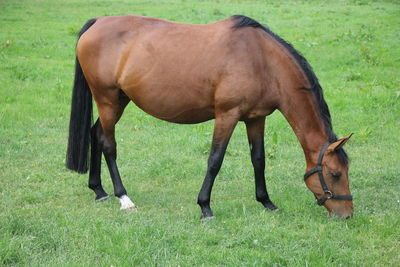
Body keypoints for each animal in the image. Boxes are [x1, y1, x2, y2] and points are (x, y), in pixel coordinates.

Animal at [65, 14, 354, 220]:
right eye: (335, 174)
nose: (347, 214)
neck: (261, 60)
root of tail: (98, 22)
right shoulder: (227, 115)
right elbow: (215, 160)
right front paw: (205, 207)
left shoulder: (255, 118)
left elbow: (258, 160)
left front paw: (266, 202)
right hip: (107, 100)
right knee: (108, 145)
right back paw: (123, 198)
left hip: (118, 101)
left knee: (95, 133)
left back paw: (99, 191)